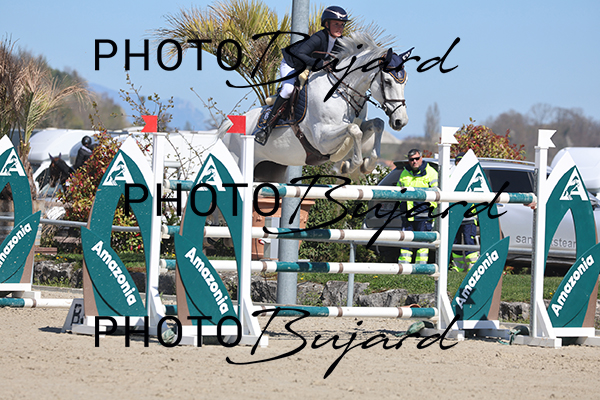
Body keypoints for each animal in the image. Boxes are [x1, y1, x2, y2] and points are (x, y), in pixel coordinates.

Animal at [220, 32, 411, 182]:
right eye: (388, 81)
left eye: (405, 82)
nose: (400, 121)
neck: (342, 91)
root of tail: (228, 126)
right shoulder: (322, 139)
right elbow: (354, 130)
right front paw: (350, 165)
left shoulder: (357, 127)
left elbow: (376, 124)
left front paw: (366, 164)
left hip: (271, 169)